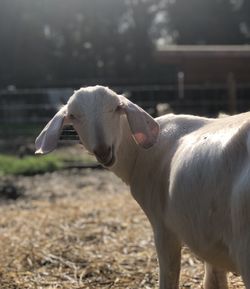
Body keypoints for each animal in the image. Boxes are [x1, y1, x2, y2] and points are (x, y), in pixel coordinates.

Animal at [35, 84, 250, 286]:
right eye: (73, 116)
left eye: (116, 108)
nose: (103, 151)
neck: (137, 153)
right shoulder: (208, 243)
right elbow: (215, 280)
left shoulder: (163, 226)